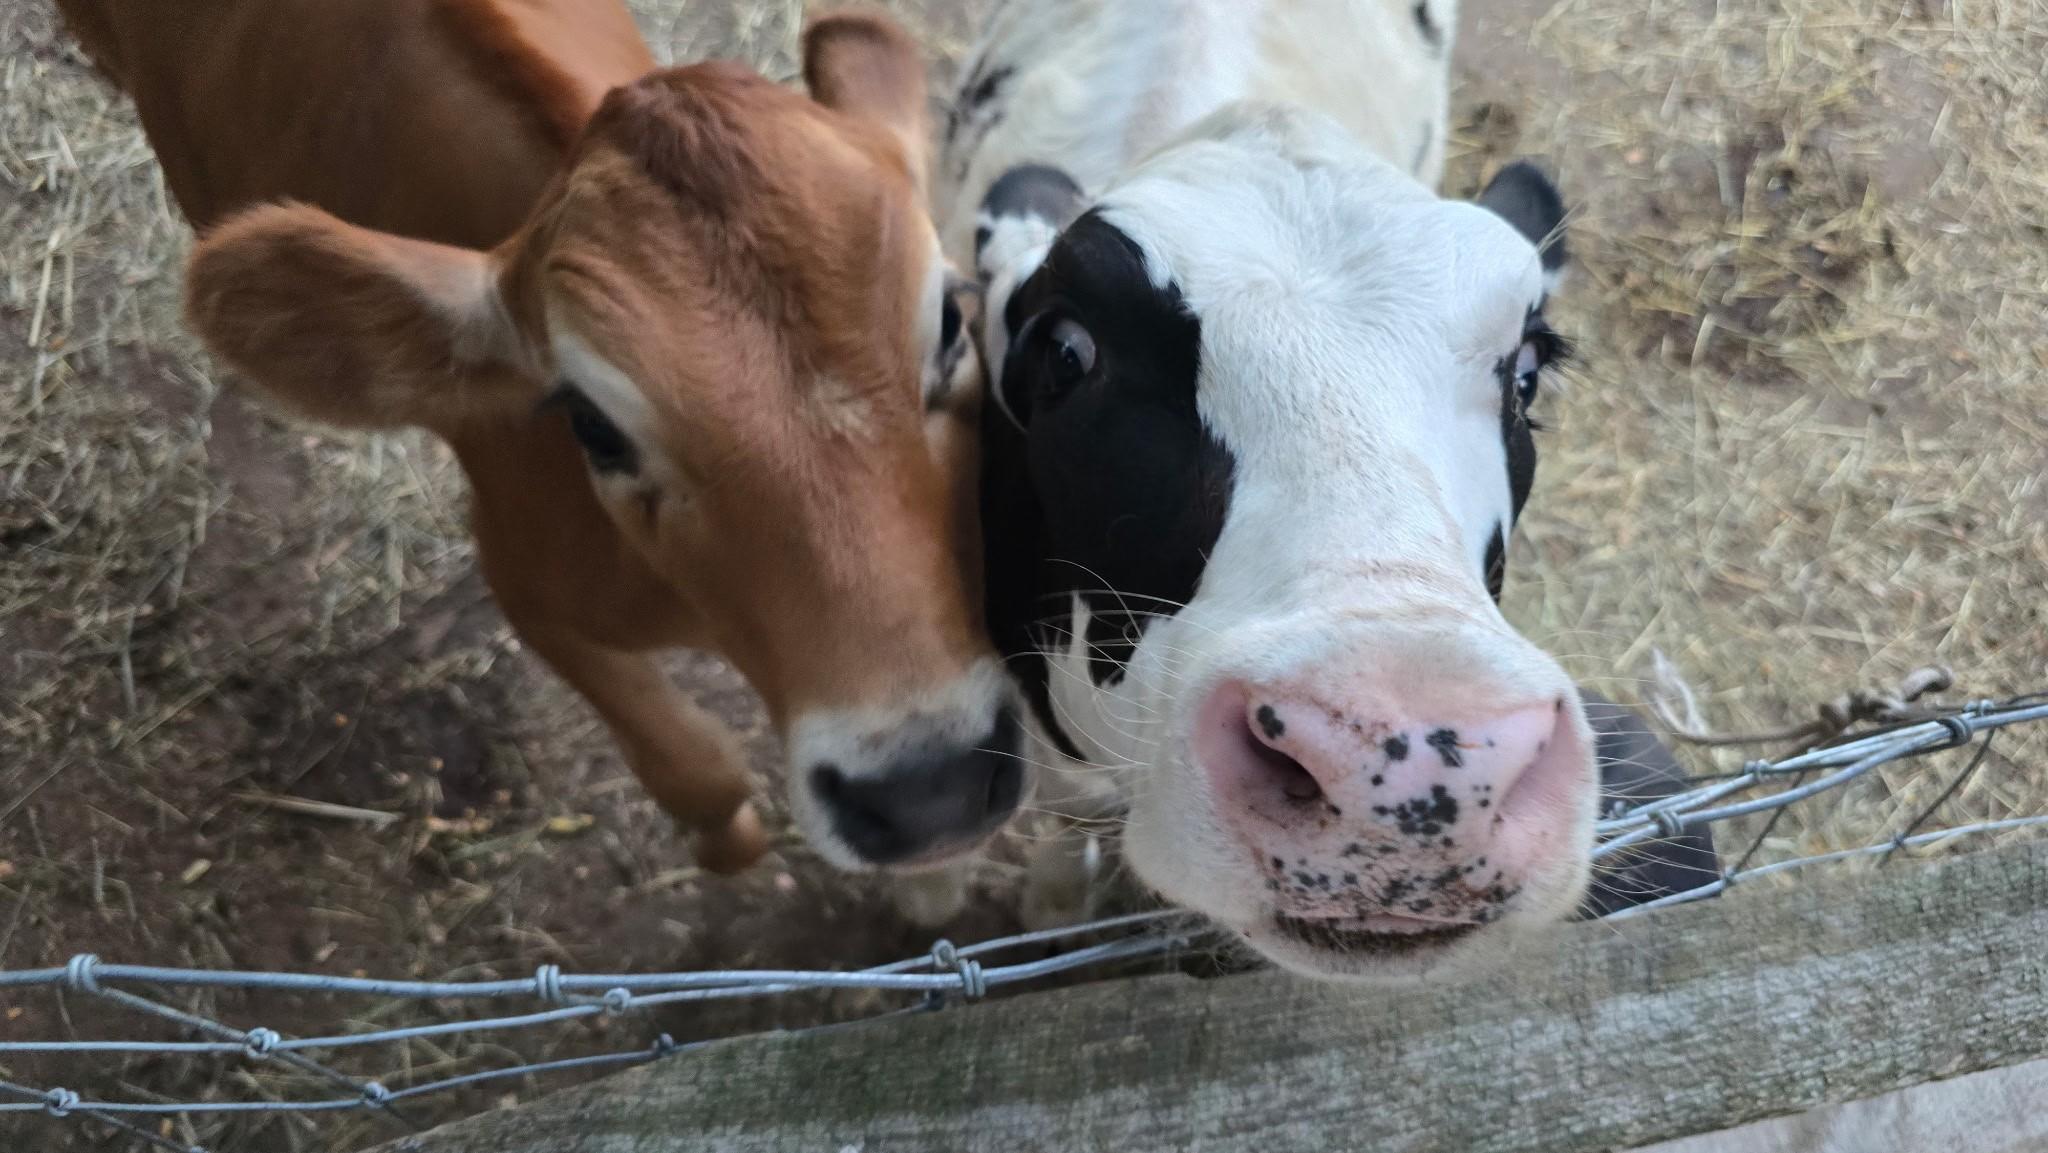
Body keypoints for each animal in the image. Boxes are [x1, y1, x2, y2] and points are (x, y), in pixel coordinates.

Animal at [56, 0, 1023, 883]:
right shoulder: (525, 578)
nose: (926, 787)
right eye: (591, 422)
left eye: (951, 321)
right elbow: (698, 769)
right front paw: (732, 845)